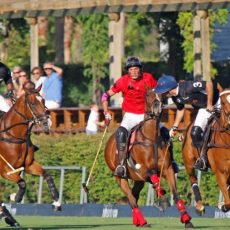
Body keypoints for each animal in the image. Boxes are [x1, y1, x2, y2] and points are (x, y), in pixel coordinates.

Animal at [0, 81, 61, 226]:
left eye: (43, 100)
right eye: (32, 104)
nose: (47, 122)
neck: (14, 136)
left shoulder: (28, 165)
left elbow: (47, 175)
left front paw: (57, 202)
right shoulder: (5, 171)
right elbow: (22, 183)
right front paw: (14, 196)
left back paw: (9, 218)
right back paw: (8, 217)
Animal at [104, 87, 192, 228]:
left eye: (162, 95)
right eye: (147, 95)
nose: (157, 107)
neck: (151, 138)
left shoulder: (167, 169)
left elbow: (175, 193)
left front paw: (186, 219)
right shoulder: (144, 169)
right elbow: (155, 180)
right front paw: (162, 201)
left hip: (138, 180)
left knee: (134, 196)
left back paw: (137, 221)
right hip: (120, 177)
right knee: (131, 198)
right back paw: (142, 221)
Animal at [181, 88, 230, 216]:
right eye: (223, 103)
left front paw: (222, 204)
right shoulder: (219, 171)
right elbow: (228, 199)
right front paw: (223, 205)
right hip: (188, 161)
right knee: (193, 179)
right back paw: (199, 206)